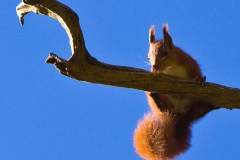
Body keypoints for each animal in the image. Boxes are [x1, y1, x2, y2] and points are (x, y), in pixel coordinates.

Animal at [133, 24, 216, 159]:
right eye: (148, 56)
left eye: (165, 53)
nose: (155, 66)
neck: (171, 66)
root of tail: (179, 116)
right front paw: (154, 71)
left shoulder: (190, 63)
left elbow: (197, 73)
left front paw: (200, 79)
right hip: (161, 106)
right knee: (162, 107)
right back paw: (155, 96)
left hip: (195, 104)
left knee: (198, 112)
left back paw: (207, 107)